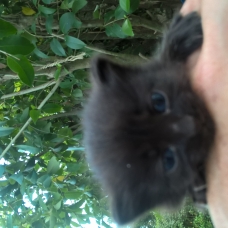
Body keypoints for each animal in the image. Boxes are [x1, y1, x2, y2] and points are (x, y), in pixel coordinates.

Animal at [83, 12, 215, 224]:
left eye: (158, 101)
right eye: (168, 160)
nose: (193, 124)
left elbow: (164, 63)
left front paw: (181, 37)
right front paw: (197, 186)